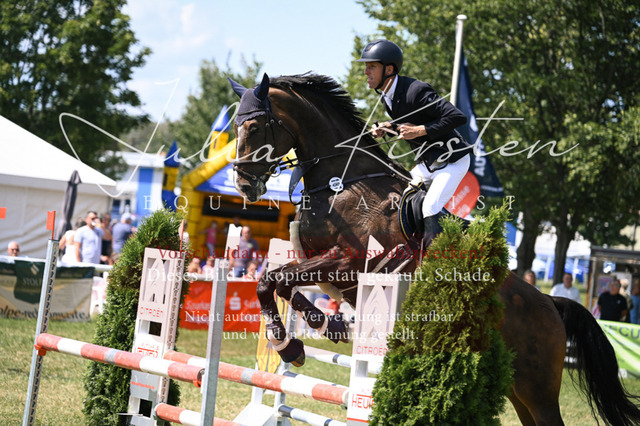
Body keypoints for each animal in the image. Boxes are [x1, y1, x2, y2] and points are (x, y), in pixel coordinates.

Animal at [228, 73, 640, 425]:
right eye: (235, 127)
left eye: (254, 126)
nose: (244, 184)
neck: (342, 183)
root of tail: (550, 303)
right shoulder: (314, 260)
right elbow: (278, 282)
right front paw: (324, 326)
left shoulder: (350, 261)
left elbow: (273, 281)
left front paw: (288, 345)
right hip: (516, 388)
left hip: (536, 387)